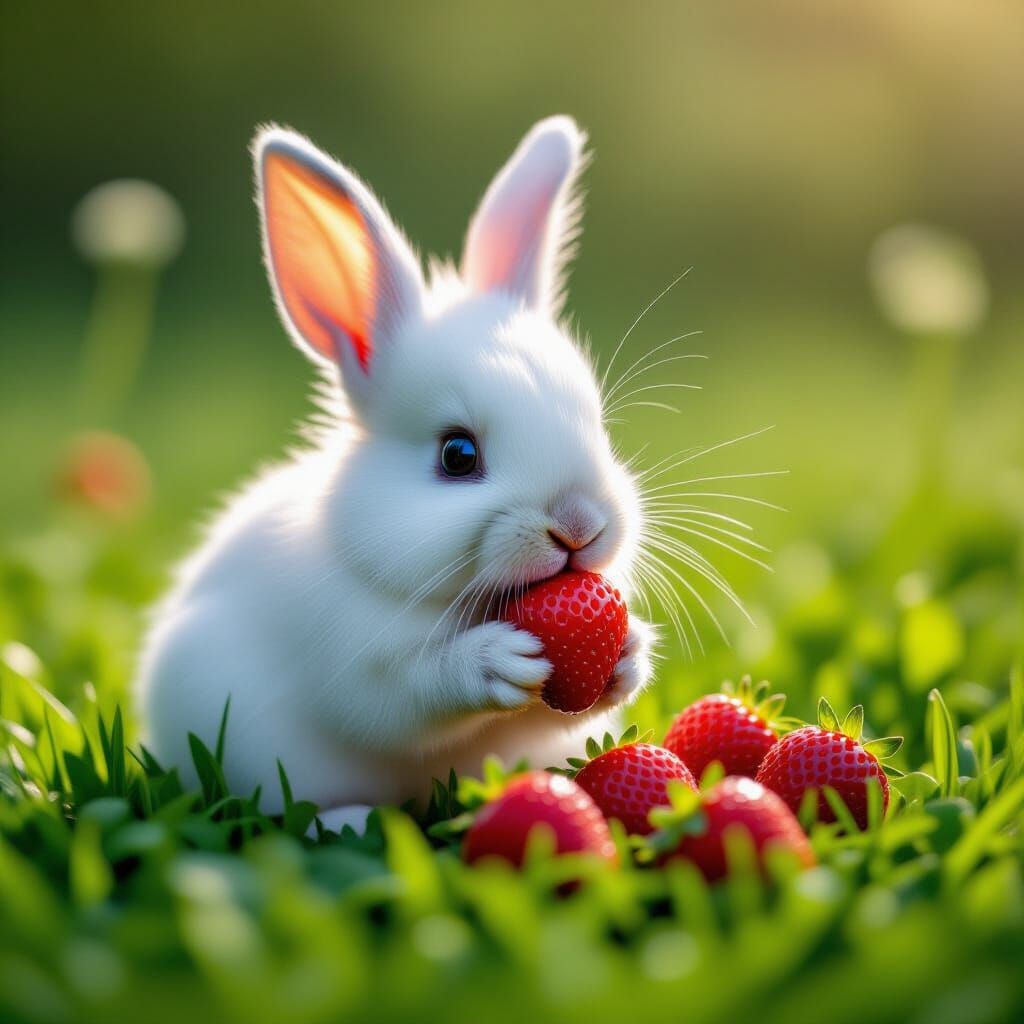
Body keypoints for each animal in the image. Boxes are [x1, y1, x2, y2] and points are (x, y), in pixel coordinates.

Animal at [136, 116, 656, 831]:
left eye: (597, 424)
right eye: (457, 455)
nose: (578, 524)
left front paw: (629, 654)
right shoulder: (357, 660)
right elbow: (413, 691)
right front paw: (499, 660)